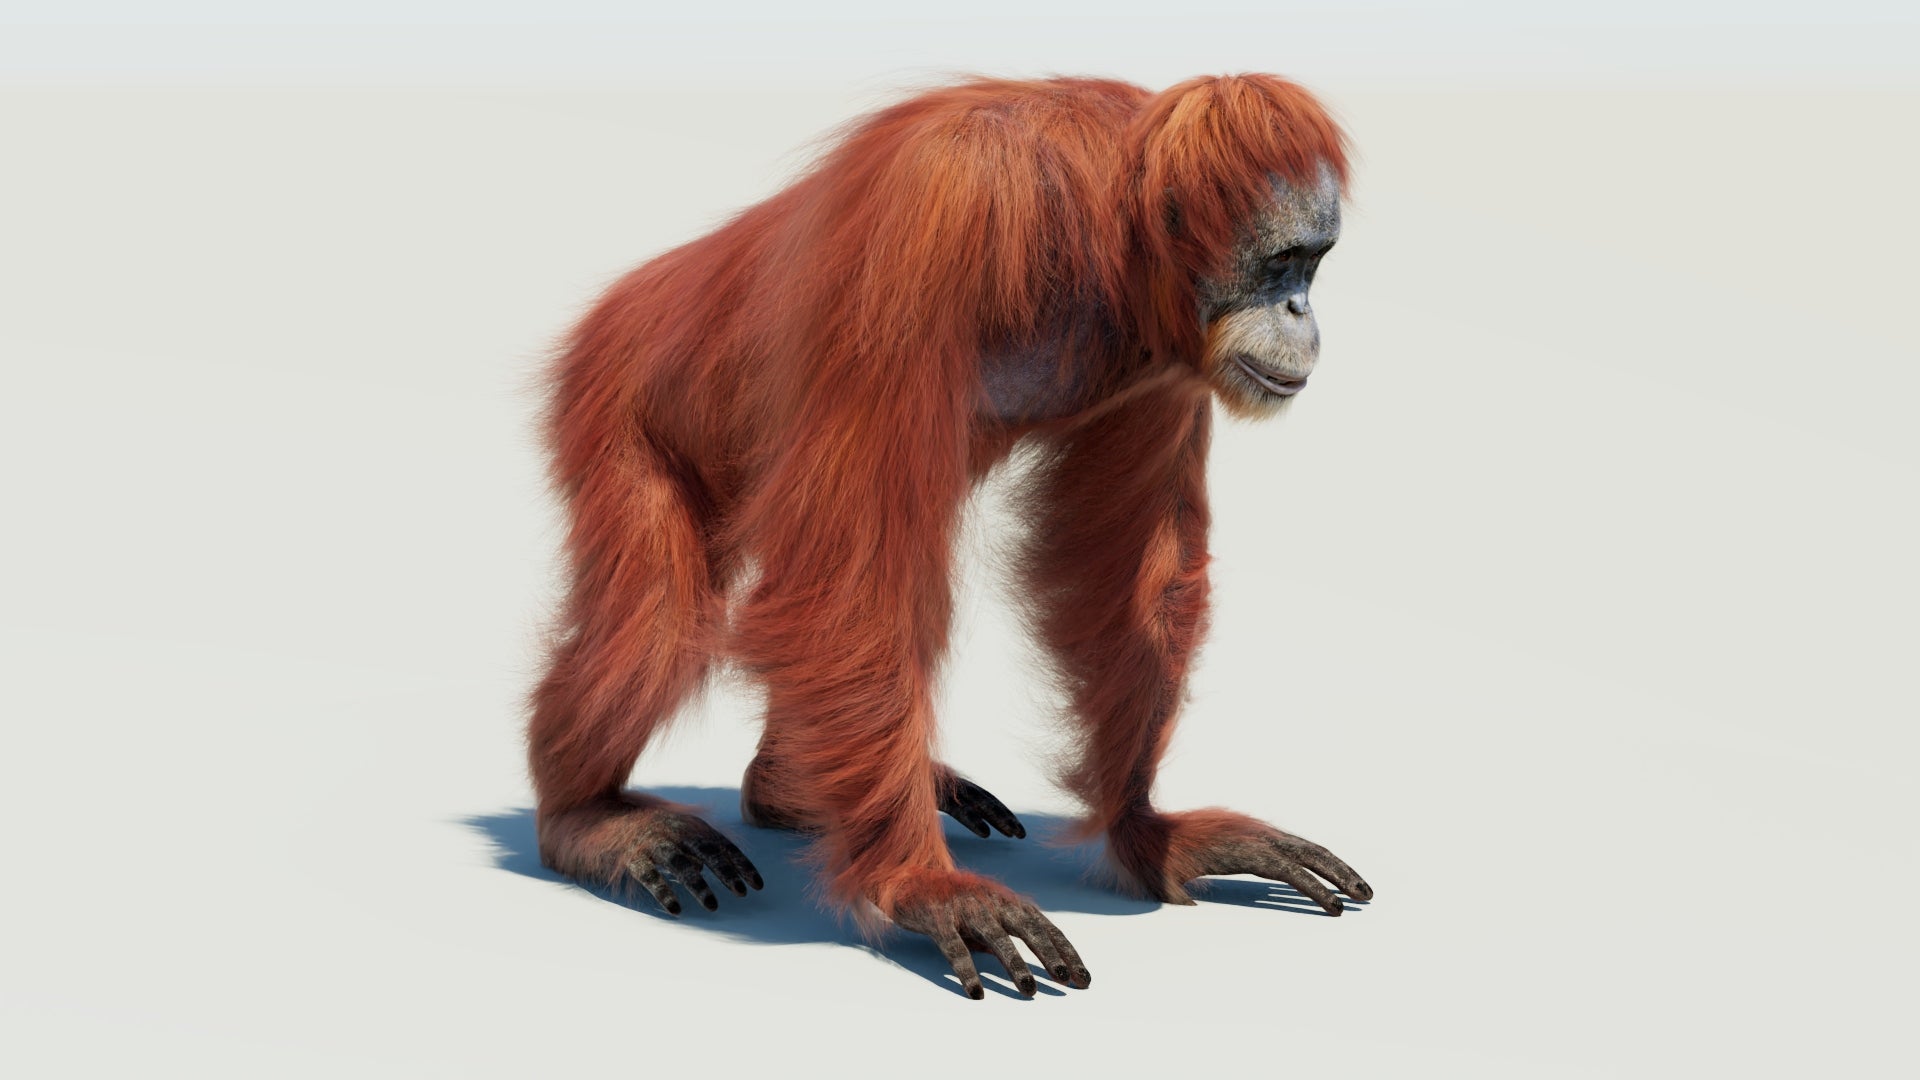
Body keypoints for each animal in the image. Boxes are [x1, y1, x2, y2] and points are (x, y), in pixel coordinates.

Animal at [527, 73, 1372, 1000]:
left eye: (1315, 264)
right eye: (1283, 263)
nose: (1301, 311)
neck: (1103, 224)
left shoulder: (1169, 360)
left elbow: (1124, 579)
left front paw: (1150, 835)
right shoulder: (937, 215)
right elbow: (851, 577)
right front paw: (918, 884)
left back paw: (785, 789)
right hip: (612, 393)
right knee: (667, 616)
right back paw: (585, 819)